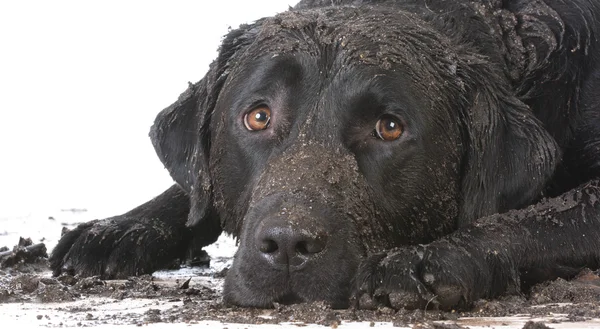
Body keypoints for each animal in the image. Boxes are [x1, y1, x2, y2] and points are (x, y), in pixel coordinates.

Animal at [49, 0, 600, 308]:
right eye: (258, 117)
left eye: (389, 128)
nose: (288, 245)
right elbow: (192, 189)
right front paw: (120, 228)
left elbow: (529, 218)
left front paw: (429, 260)